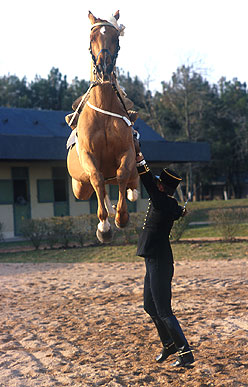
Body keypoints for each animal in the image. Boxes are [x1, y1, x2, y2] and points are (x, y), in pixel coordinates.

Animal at [67, 9, 139, 242]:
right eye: (92, 38)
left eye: (116, 39)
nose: (104, 68)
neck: (103, 108)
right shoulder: (88, 155)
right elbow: (97, 178)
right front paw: (104, 226)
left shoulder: (127, 152)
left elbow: (123, 173)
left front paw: (121, 217)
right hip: (79, 187)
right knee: (100, 187)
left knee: (130, 185)